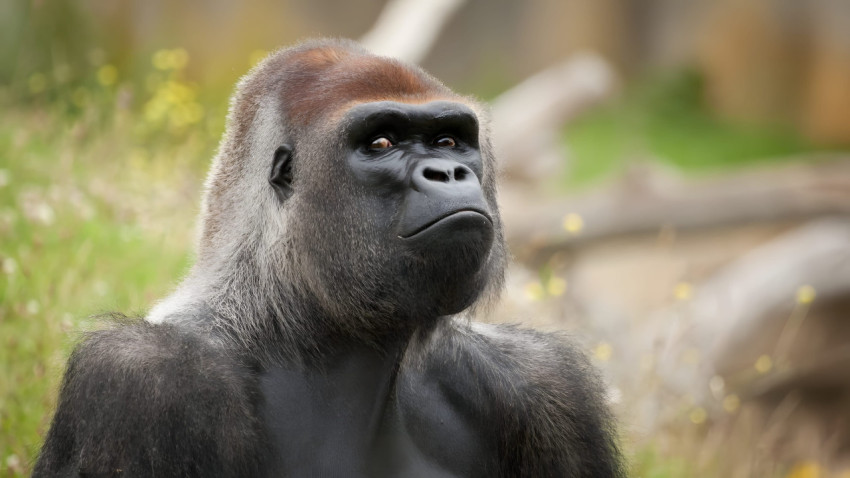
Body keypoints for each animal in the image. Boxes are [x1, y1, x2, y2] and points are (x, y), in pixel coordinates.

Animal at [34, 39, 625, 477]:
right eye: (381, 143)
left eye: (450, 141)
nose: (449, 172)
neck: (290, 322)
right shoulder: (142, 380)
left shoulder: (541, 380)